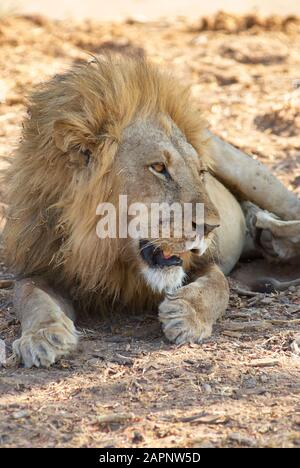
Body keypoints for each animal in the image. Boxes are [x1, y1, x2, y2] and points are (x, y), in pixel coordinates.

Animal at [4, 51, 300, 366]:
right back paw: (265, 236)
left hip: (253, 175)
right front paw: (43, 337)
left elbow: (218, 287)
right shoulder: (41, 267)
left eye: (201, 172)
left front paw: (185, 315)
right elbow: (29, 295)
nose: (210, 227)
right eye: (159, 168)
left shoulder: (203, 264)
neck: (105, 252)